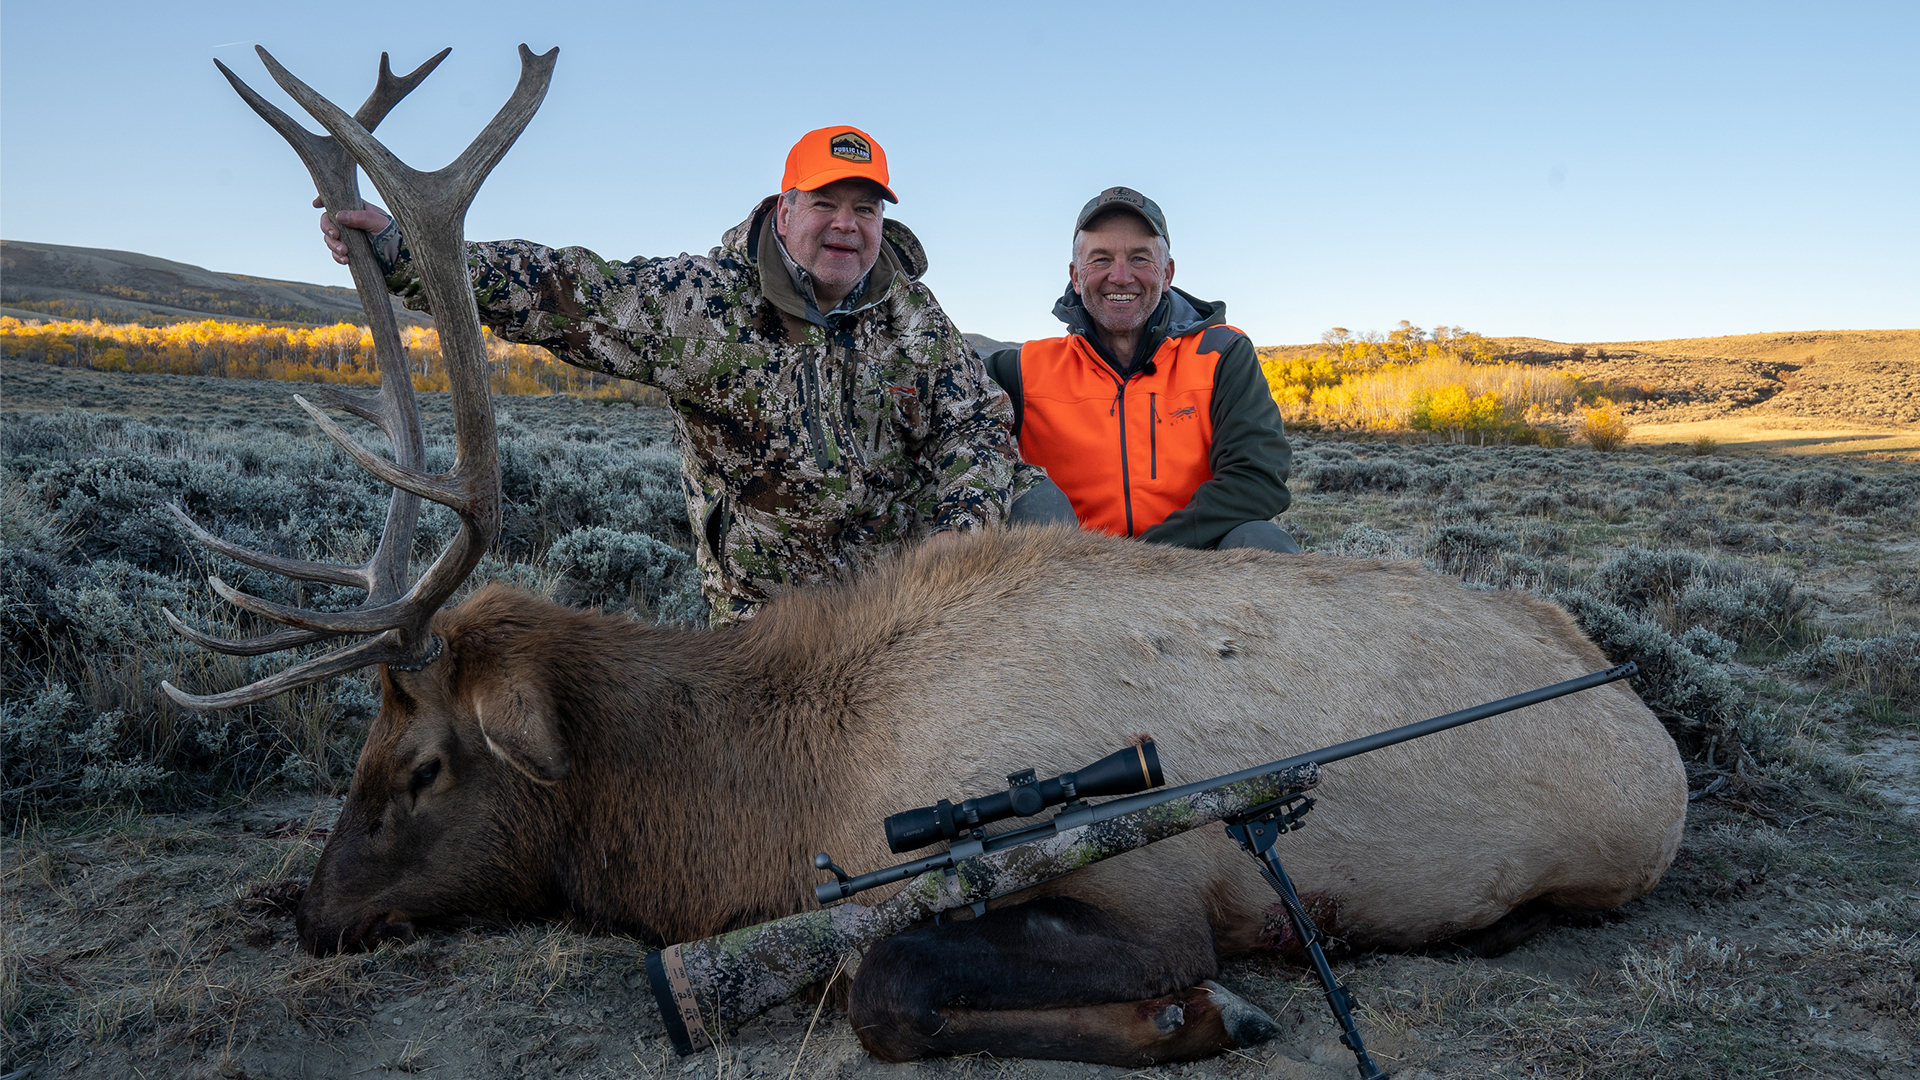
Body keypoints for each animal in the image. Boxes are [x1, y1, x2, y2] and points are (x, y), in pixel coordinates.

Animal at [167, 46, 1689, 1068]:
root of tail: (1636, 701)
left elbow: (889, 983)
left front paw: (1211, 1011)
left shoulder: (1157, 894)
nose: (311, 913)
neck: (757, 800)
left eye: (423, 763)